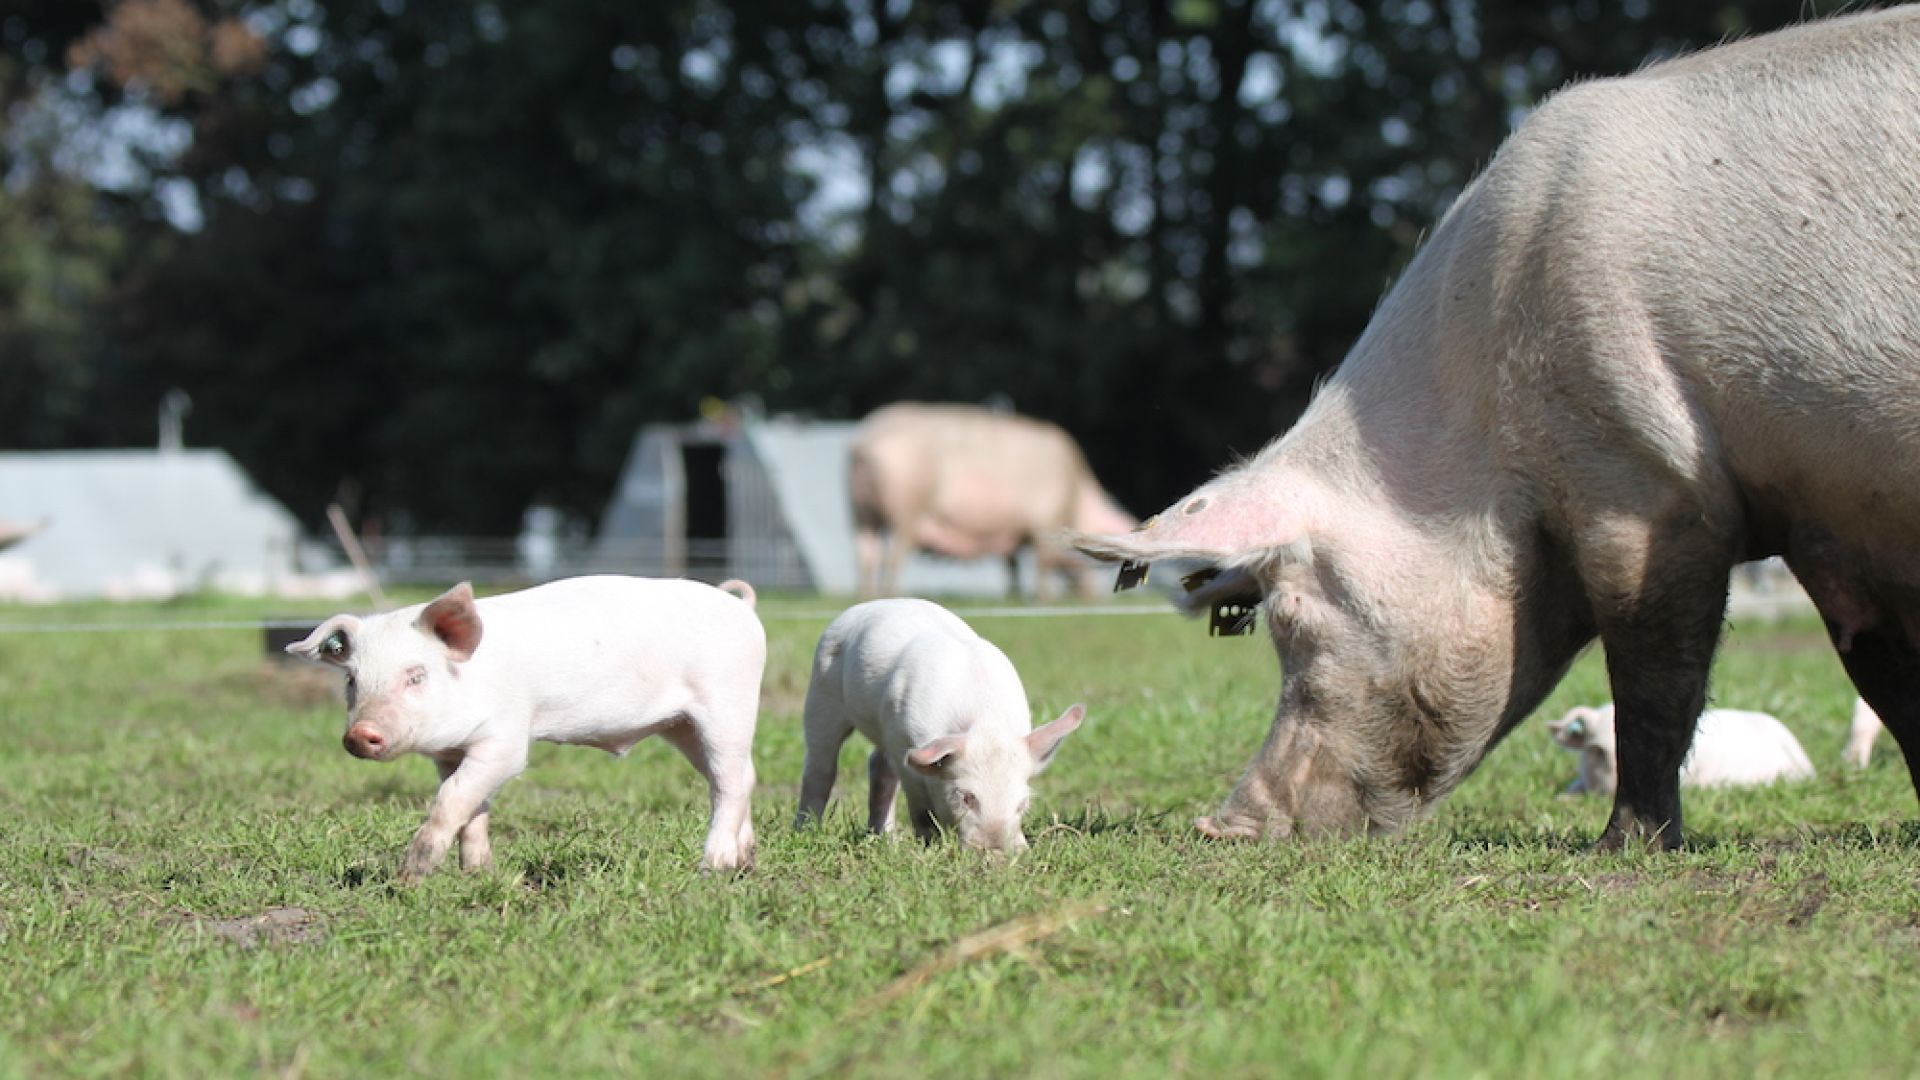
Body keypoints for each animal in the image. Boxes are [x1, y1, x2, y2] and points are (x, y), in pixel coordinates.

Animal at [286, 572, 764, 876]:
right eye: (352, 679)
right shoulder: (450, 753)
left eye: (416, 675)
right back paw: (745, 862)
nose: (359, 733)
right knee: (741, 775)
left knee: (730, 781)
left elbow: (452, 799)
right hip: (681, 726)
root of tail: (742, 608)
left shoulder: (505, 740)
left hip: (727, 703)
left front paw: (410, 876)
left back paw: (712, 868)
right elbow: (472, 808)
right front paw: (479, 874)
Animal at [791, 595, 1082, 849]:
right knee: (820, 768)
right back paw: (805, 832)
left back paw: (887, 840)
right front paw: (930, 845)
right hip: (821, 694)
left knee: (878, 768)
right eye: (966, 797)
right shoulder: (903, 741)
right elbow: (921, 807)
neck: (984, 723)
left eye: (1022, 804)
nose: (998, 854)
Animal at [848, 401, 1128, 595]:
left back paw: (866, 596)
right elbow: (1043, 562)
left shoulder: (1010, 532)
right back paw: (893, 594)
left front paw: (1014, 596)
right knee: (893, 556)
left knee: (866, 554)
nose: (1093, 598)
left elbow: (1011, 563)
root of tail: (865, 442)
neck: (1075, 498)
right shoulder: (1044, 519)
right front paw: (1044, 600)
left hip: (859, 510)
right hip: (908, 507)